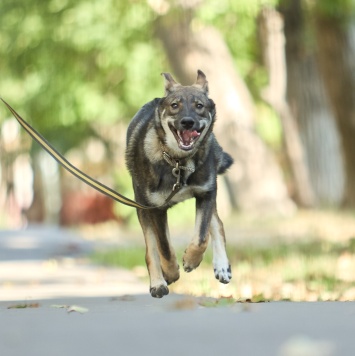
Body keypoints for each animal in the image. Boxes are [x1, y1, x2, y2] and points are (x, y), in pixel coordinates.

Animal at [125, 69, 234, 298]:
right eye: (175, 105)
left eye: (199, 106)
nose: (187, 122)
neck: (179, 162)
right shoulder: (156, 209)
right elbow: (164, 247)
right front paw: (171, 272)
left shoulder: (206, 193)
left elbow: (201, 237)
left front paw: (191, 260)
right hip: (142, 207)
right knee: (151, 248)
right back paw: (158, 282)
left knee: (216, 224)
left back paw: (222, 266)